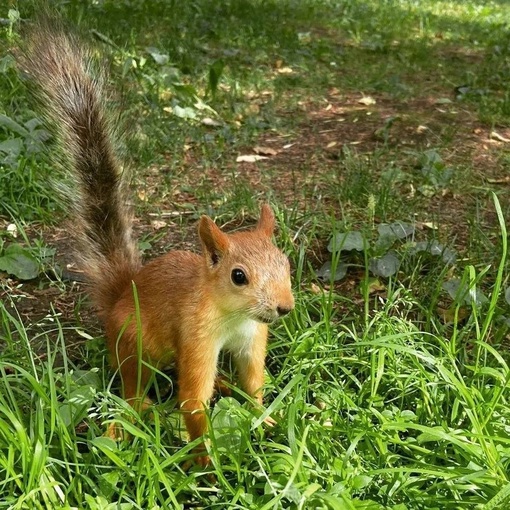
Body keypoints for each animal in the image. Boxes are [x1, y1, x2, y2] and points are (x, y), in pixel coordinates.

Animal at [21, 23, 294, 464]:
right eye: (238, 276)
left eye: (286, 264)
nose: (284, 308)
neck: (233, 316)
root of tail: (120, 293)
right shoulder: (196, 335)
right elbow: (192, 400)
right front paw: (206, 463)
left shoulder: (252, 339)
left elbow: (254, 385)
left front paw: (266, 419)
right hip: (133, 343)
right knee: (133, 389)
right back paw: (138, 413)